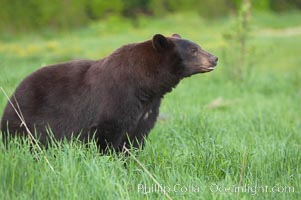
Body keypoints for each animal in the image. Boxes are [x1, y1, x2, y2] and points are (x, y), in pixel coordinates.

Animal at [1, 33, 218, 152]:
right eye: (193, 50)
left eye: (198, 47)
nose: (214, 58)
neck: (145, 85)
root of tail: (12, 97)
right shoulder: (116, 99)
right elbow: (106, 134)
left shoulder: (147, 109)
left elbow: (136, 138)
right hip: (26, 119)